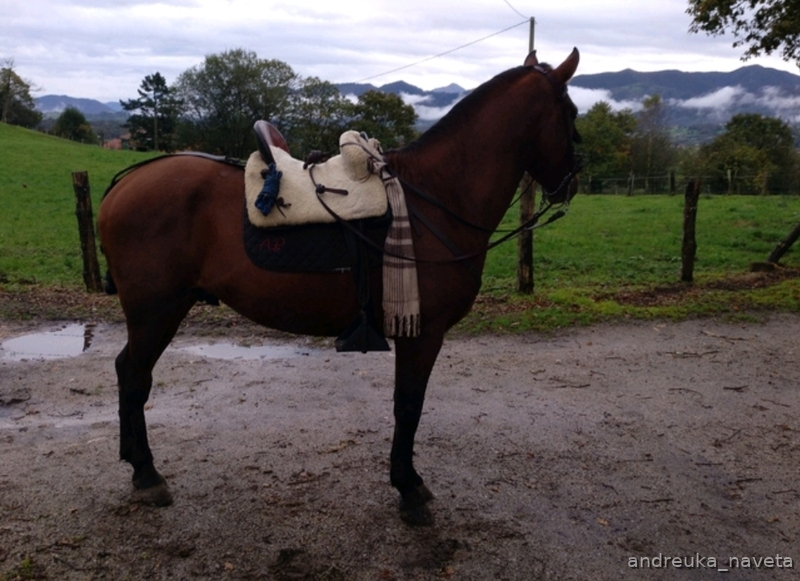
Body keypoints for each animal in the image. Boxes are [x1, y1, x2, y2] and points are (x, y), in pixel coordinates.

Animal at [97, 48, 582, 526]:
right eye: (572, 113)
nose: (572, 183)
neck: (433, 197)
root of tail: (125, 183)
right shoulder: (422, 333)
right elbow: (408, 405)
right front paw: (409, 488)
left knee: (129, 372)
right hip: (156, 311)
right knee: (134, 376)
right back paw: (147, 473)